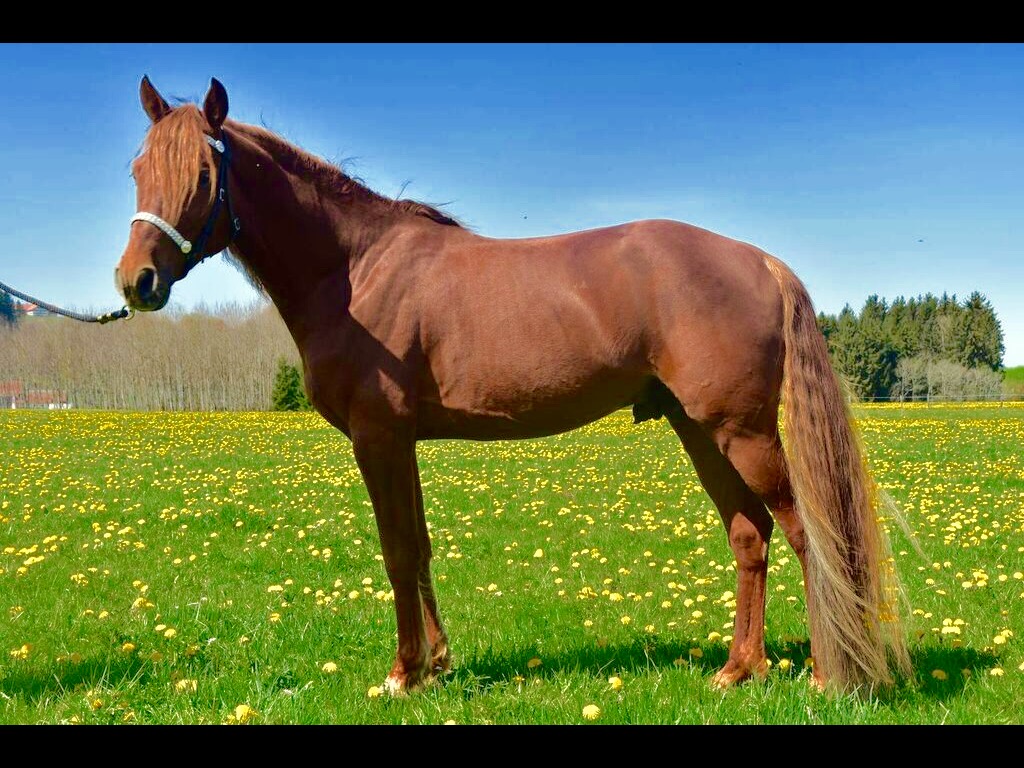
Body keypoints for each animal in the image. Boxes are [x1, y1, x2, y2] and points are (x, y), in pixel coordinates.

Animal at [114, 78, 913, 696]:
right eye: (138, 167)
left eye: (205, 175)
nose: (136, 282)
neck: (355, 270)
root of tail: (760, 260)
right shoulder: (401, 442)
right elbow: (418, 546)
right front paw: (436, 666)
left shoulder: (378, 437)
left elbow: (396, 550)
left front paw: (403, 674)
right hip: (699, 430)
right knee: (749, 535)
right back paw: (737, 670)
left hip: (740, 432)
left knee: (806, 534)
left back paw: (826, 675)